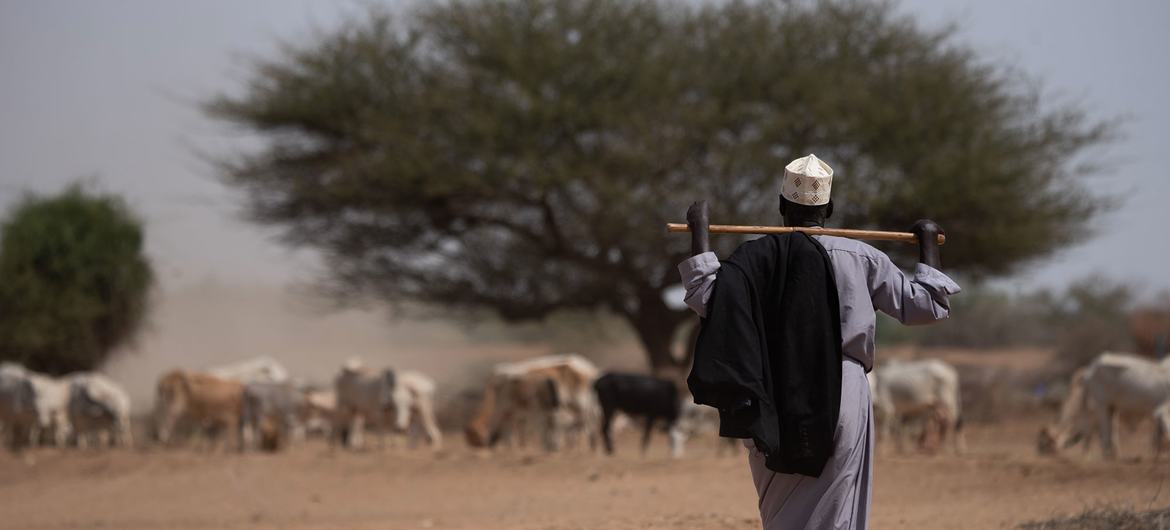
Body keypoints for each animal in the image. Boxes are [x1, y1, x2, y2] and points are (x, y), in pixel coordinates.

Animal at [463, 353, 599, 449]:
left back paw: (584, 446)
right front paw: (520, 446)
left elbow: (514, 429)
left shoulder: (511, 409)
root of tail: (591, 369)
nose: (486, 443)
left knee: (586, 424)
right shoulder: (517, 412)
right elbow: (518, 429)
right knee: (579, 425)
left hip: (581, 405)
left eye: (475, 439)